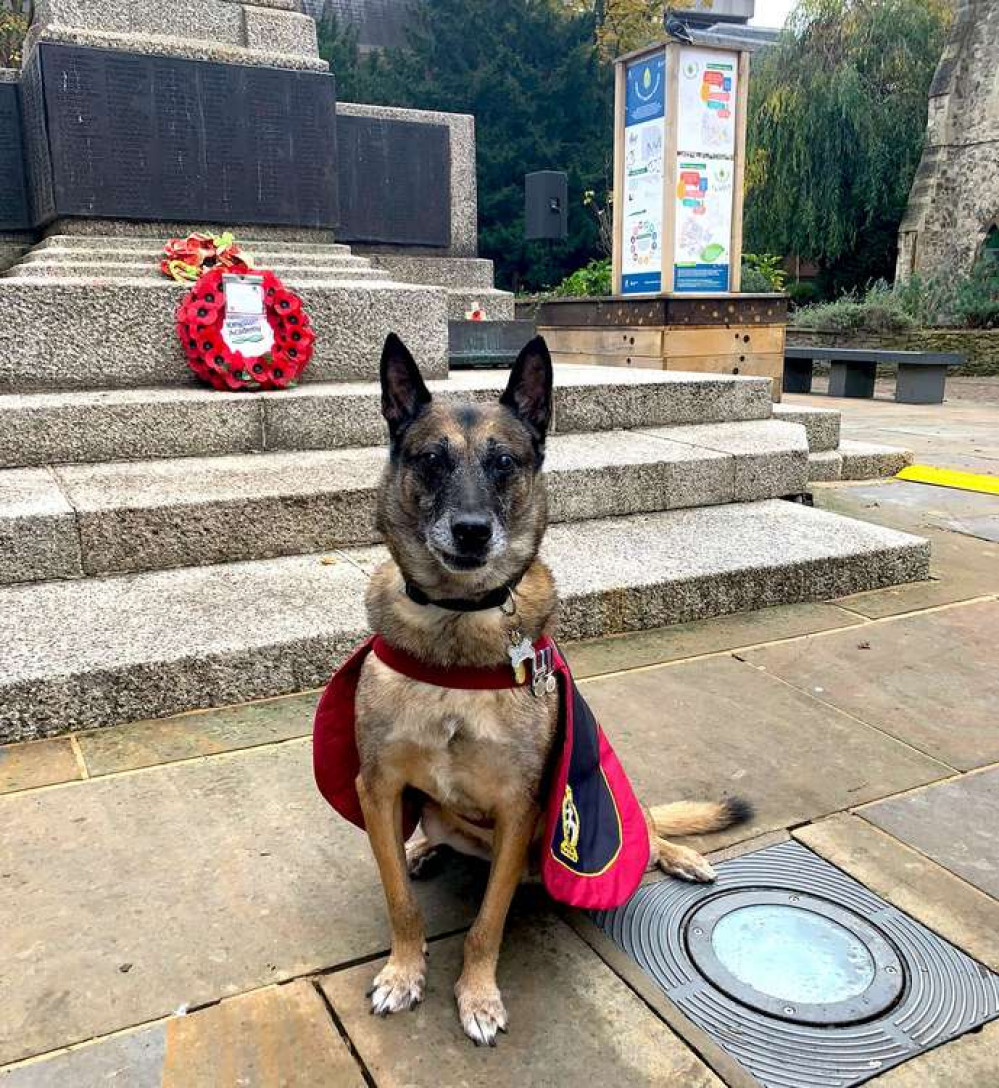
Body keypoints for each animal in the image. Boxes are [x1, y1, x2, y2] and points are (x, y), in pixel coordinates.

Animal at [352, 330, 748, 1044]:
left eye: (504, 462)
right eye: (431, 460)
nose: (472, 531)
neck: (457, 624)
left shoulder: (519, 809)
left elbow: (486, 924)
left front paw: (478, 995)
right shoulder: (380, 788)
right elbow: (401, 904)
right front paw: (404, 969)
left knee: (647, 826)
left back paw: (677, 854)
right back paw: (422, 846)